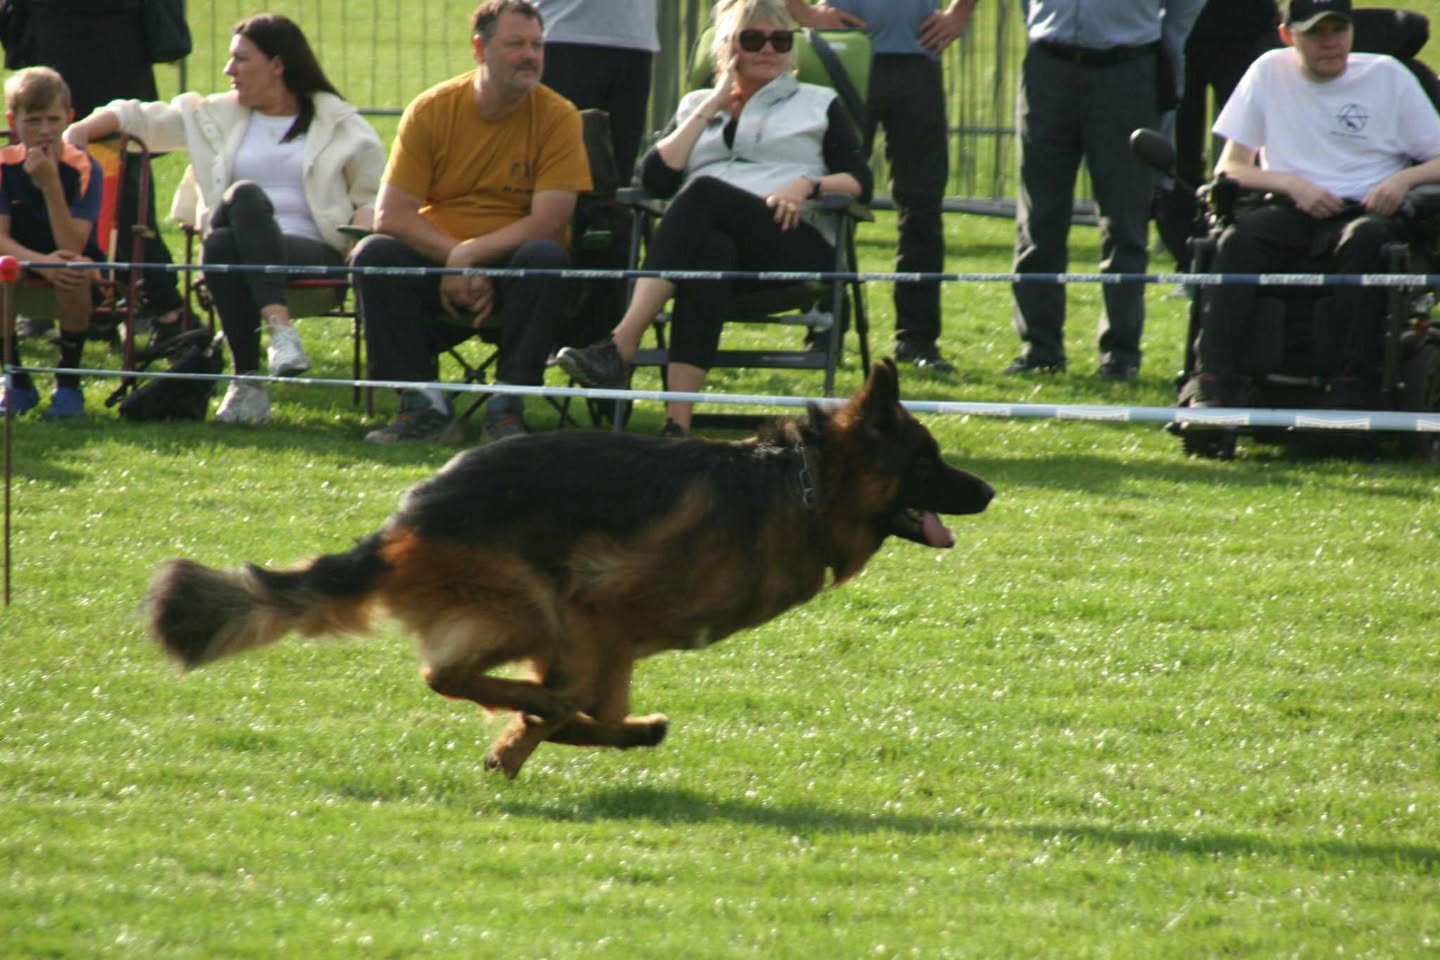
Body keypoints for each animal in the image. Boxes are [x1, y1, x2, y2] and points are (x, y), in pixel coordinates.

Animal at [144, 360, 994, 778]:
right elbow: (581, 706)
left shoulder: (608, 645)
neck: (802, 483)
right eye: (927, 462)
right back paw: (545, 710)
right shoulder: (598, 616)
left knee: (502, 688)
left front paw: (517, 748)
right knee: (453, 678)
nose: (989, 492)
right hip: (529, 604)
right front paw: (525, 736)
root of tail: (401, 523)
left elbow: (598, 716)